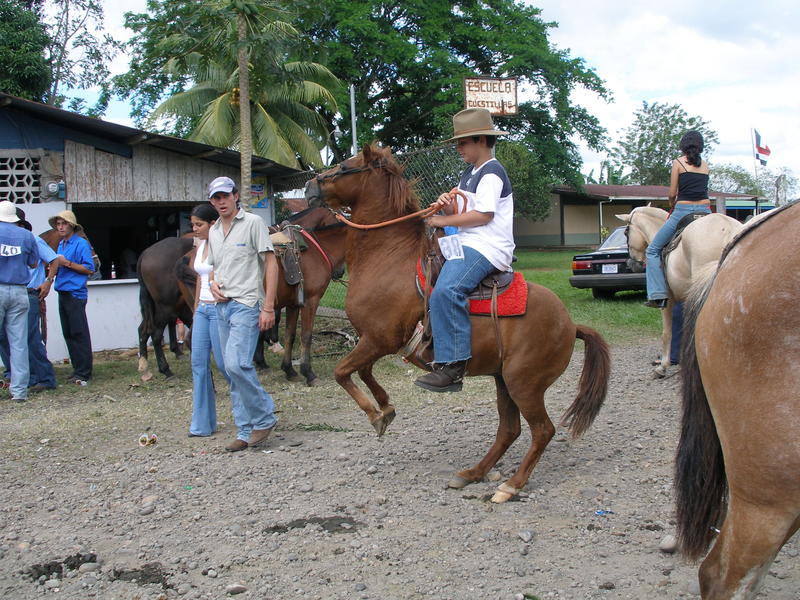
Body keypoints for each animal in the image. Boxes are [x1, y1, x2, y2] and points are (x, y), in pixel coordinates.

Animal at [306, 144, 612, 502]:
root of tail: (571, 324)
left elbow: (342, 371)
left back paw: (511, 485)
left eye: (344, 166)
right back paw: (472, 473)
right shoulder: (375, 341)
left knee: (542, 430)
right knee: (509, 429)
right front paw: (385, 407)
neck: (388, 258)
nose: (310, 186)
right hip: (503, 380)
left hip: (524, 383)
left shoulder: (379, 339)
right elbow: (363, 371)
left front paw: (375, 415)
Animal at [616, 206, 740, 376]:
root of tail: (727, 228)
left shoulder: (667, 301)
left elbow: (667, 332)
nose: (631, 263)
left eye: (626, 232)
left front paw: (662, 366)